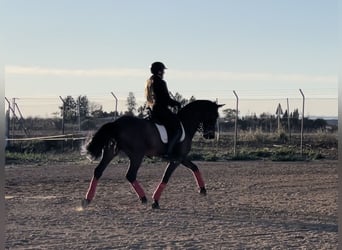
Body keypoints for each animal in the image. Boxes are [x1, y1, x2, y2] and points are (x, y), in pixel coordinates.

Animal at [81, 99, 223, 209]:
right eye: (214, 116)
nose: (210, 136)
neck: (185, 124)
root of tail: (117, 123)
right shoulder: (176, 159)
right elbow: (166, 177)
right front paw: (155, 201)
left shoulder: (181, 158)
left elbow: (194, 167)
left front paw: (203, 189)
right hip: (137, 155)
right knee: (130, 175)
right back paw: (143, 198)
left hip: (111, 152)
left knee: (98, 171)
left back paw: (87, 200)